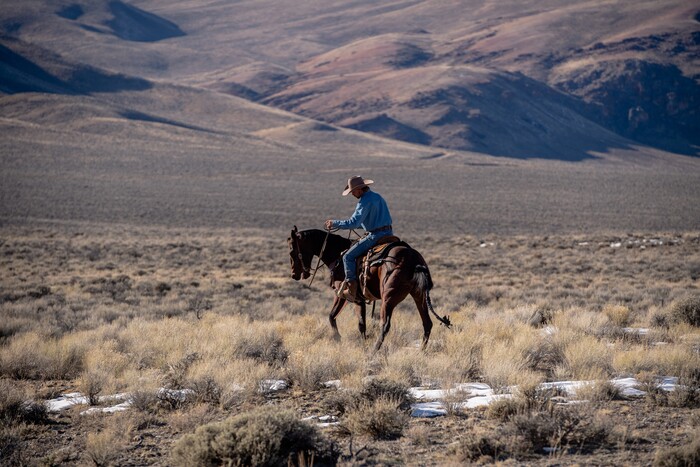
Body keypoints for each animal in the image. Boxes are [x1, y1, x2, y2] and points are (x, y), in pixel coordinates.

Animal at [288, 226, 450, 352]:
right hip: (419, 295)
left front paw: (340, 340)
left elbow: (336, 318)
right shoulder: (358, 299)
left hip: (388, 298)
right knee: (427, 323)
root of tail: (413, 260)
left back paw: (374, 350)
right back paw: (421, 351)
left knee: (385, 325)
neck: (338, 254)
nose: (294, 274)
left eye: (291, 251)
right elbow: (357, 323)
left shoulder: (346, 295)